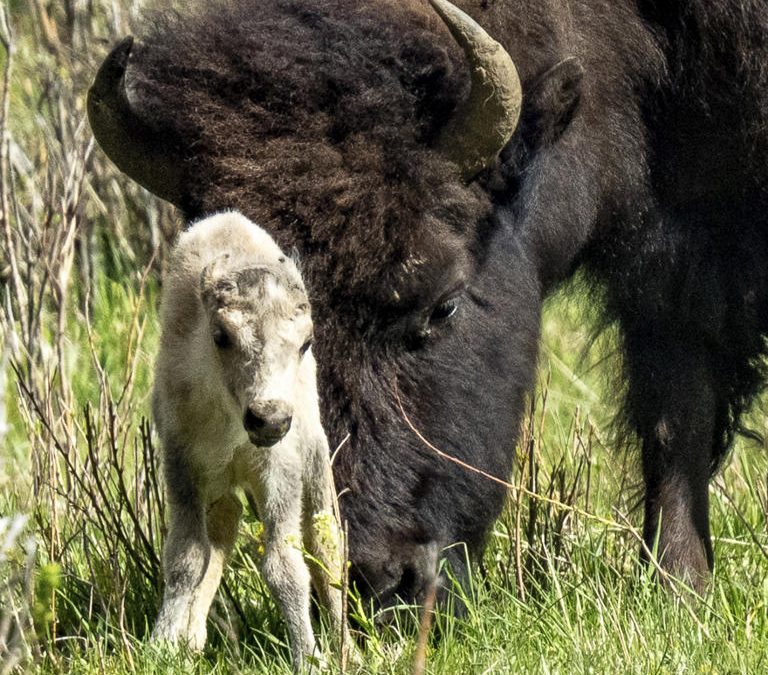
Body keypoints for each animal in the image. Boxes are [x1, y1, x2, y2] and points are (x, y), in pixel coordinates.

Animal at [90, 0, 768, 608]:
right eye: (223, 335)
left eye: (445, 305)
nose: (379, 581)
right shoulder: (670, 271)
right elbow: (673, 419)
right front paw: (682, 592)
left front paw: (679, 594)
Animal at [152, 211, 344, 672]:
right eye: (222, 335)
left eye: (306, 342)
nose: (269, 418)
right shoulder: (182, 465)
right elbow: (187, 556)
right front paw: (163, 644)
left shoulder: (279, 472)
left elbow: (285, 566)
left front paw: (309, 657)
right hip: (221, 485)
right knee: (224, 527)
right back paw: (192, 639)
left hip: (315, 461)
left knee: (326, 543)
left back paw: (352, 644)